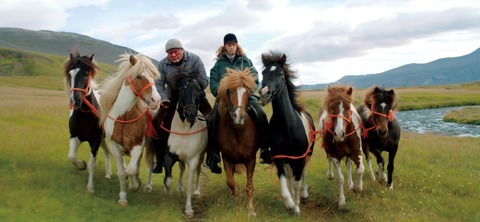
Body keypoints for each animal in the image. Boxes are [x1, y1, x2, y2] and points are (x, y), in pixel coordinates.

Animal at [63, 48, 112, 193]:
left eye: (86, 74)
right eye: (70, 74)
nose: (75, 100)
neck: (84, 115)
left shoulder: (94, 141)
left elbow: (92, 165)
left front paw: (90, 188)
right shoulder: (75, 136)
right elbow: (71, 156)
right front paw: (81, 165)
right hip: (102, 139)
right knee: (107, 153)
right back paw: (108, 174)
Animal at [99, 53, 161, 206]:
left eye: (153, 76)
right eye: (139, 76)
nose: (156, 100)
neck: (124, 117)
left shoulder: (138, 145)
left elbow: (132, 170)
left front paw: (134, 185)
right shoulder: (115, 147)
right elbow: (123, 172)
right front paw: (122, 198)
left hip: (150, 145)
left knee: (149, 163)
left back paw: (147, 185)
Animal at [218, 68, 260, 217]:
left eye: (247, 92)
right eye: (230, 91)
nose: (239, 117)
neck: (238, 132)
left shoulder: (251, 160)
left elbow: (249, 186)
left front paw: (251, 210)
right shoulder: (227, 159)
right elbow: (230, 182)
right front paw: (236, 196)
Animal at [258, 50, 316, 215]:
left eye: (280, 74)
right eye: (263, 73)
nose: (264, 94)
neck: (287, 125)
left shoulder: (299, 159)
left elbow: (297, 183)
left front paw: (296, 208)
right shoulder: (279, 158)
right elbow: (284, 183)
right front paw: (289, 203)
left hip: (307, 155)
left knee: (303, 174)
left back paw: (304, 196)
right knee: (290, 177)